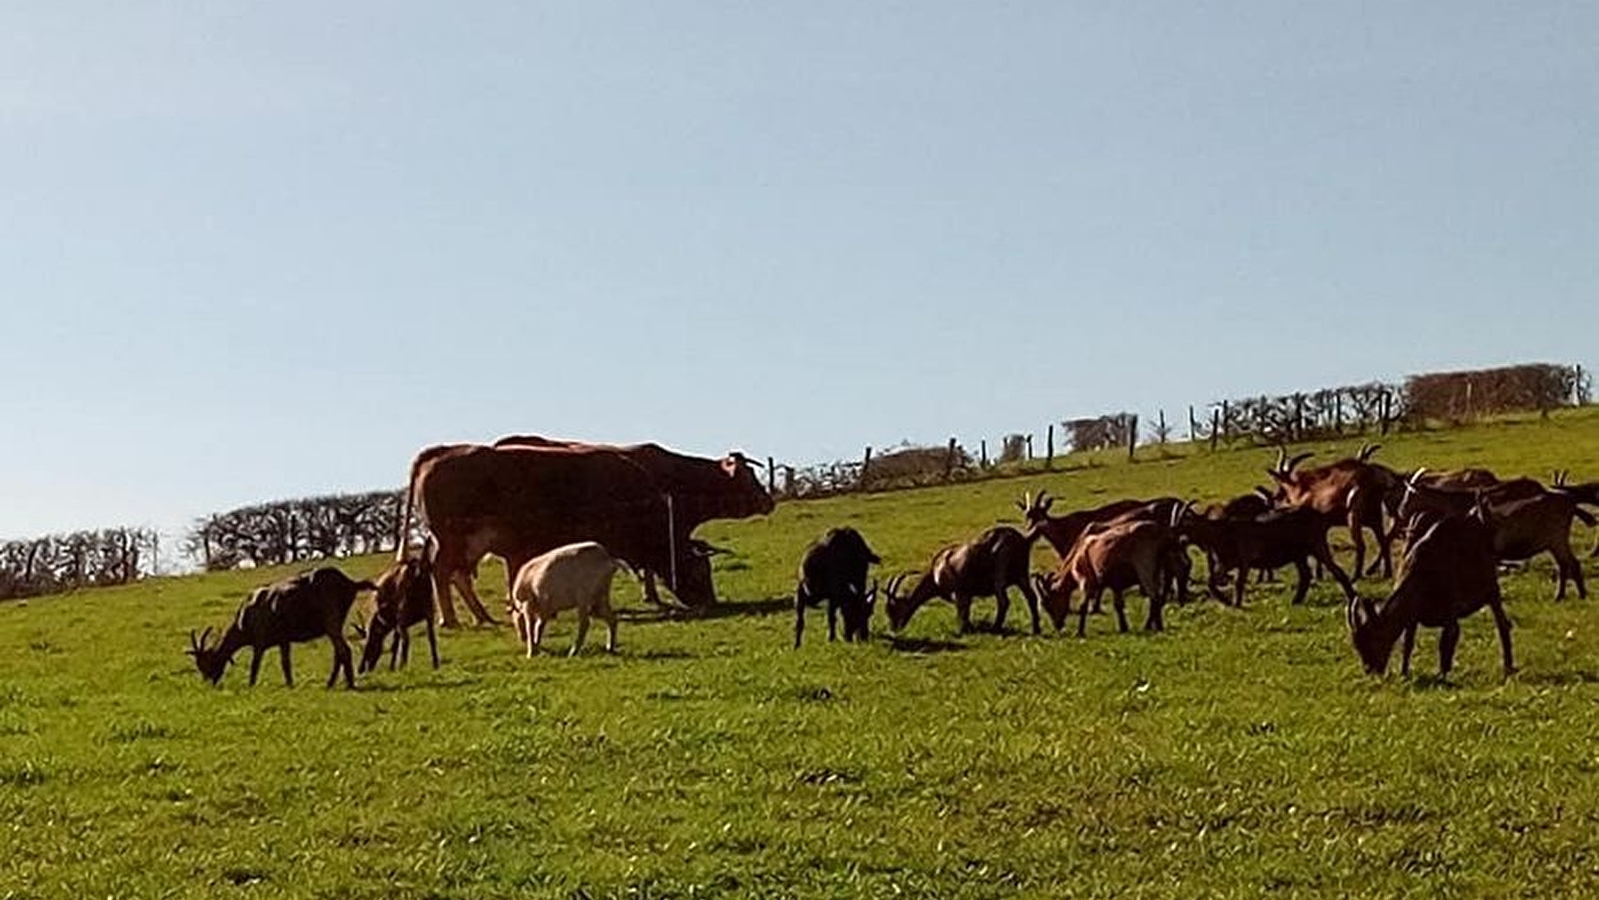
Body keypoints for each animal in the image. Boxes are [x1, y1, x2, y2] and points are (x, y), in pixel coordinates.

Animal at [397, 440, 772, 627]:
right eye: (699, 570)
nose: (711, 602)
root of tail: (439, 452)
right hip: (454, 540)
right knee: (442, 573)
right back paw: (450, 619)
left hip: (469, 544)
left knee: (458, 576)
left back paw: (482, 615)